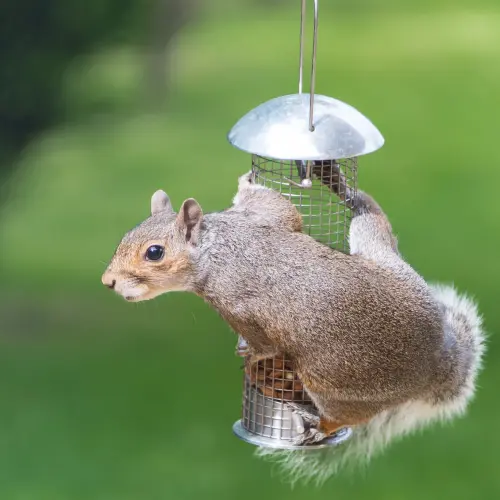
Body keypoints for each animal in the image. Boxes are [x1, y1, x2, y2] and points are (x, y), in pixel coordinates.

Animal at [100, 165, 484, 484]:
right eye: (124, 238)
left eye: (154, 253)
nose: (108, 282)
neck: (216, 250)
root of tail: (435, 363)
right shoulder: (258, 218)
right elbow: (282, 209)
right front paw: (247, 182)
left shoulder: (239, 306)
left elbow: (265, 345)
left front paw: (251, 357)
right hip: (381, 255)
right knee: (374, 221)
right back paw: (343, 187)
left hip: (330, 379)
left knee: (343, 418)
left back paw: (316, 424)